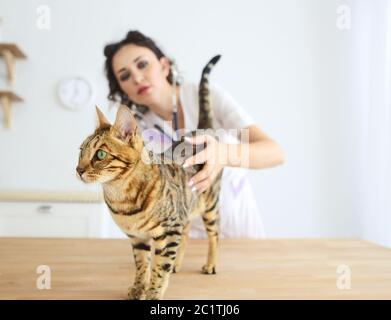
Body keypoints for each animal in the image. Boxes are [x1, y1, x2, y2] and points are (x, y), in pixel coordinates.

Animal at [77, 55, 224, 300]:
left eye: (100, 154)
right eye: (80, 151)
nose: (78, 169)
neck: (120, 196)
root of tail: (201, 131)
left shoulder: (168, 231)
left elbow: (159, 268)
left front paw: (154, 292)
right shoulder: (138, 238)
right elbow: (142, 265)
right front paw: (138, 288)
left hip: (209, 204)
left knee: (214, 235)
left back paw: (211, 264)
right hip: (184, 207)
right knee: (186, 234)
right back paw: (178, 264)